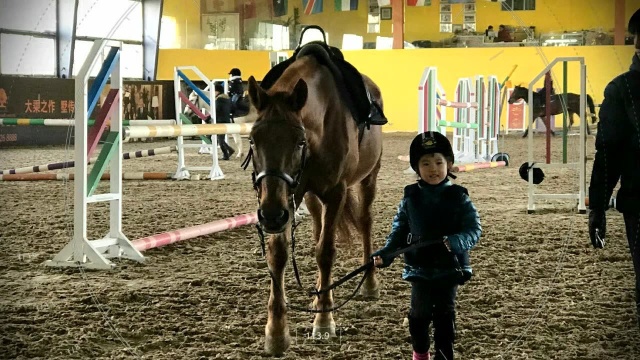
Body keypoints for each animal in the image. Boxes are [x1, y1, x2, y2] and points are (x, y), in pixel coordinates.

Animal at [248, 53, 382, 354]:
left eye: (299, 141)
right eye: (251, 140)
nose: (270, 216)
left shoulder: (336, 193)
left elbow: (326, 252)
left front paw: (323, 320)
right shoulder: (289, 196)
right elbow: (279, 255)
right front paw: (276, 332)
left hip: (368, 178)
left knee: (365, 222)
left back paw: (368, 283)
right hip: (308, 198)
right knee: (319, 228)